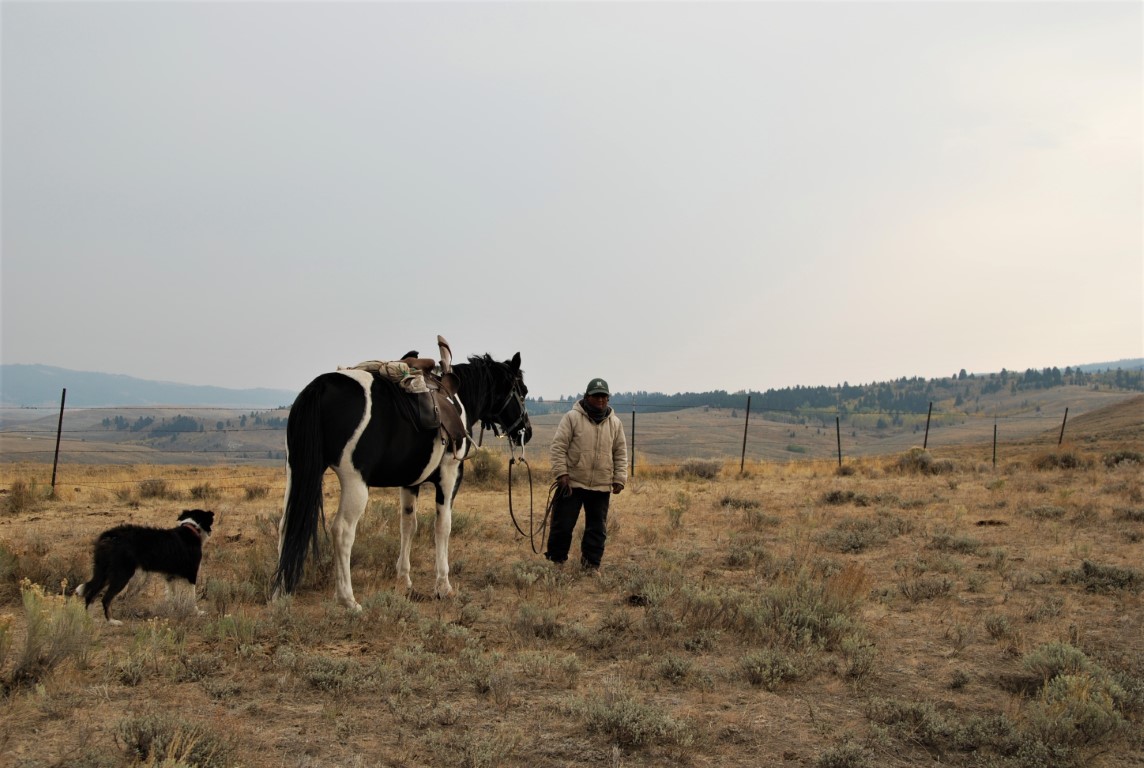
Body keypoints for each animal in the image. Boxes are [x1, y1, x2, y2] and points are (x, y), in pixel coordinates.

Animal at [74, 510, 216, 622]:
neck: (191, 529)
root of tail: (111, 534)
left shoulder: (169, 576)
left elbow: (172, 597)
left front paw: (173, 610)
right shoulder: (191, 574)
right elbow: (192, 597)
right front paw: (197, 612)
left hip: (104, 572)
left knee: (91, 594)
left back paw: (90, 620)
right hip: (122, 574)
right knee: (105, 598)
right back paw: (112, 621)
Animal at [272, 354, 530, 613]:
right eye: (523, 391)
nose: (525, 432)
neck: (458, 398)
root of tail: (320, 387)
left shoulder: (410, 482)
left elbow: (408, 525)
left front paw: (404, 580)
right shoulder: (449, 476)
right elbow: (443, 526)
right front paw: (443, 586)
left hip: (296, 470)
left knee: (286, 524)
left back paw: (280, 590)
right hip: (355, 483)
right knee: (343, 531)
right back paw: (348, 599)